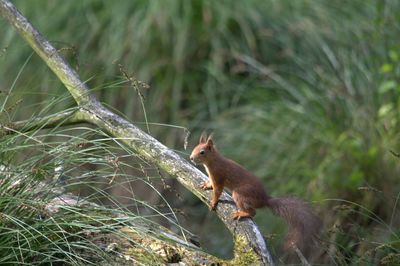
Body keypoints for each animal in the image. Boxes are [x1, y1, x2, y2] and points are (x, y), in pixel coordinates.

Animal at [191, 133, 322, 251]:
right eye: (194, 148)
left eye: (202, 152)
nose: (191, 158)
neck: (213, 161)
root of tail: (264, 199)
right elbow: (211, 185)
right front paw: (206, 185)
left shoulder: (218, 177)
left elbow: (217, 191)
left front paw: (213, 202)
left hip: (239, 194)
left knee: (253, 212)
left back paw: (242, 213)